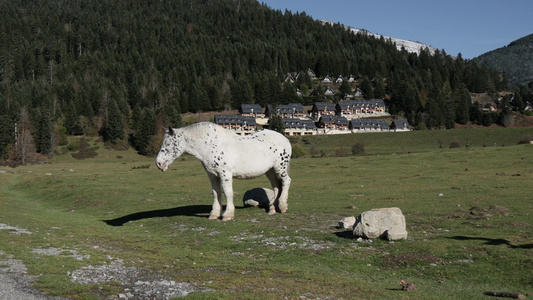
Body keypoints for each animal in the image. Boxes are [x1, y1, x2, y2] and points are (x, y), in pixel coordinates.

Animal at [157, 121, 290, 220]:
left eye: (168, 144)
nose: (159, 163)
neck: (211, 145)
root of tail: (285, 139)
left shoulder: (225, 174)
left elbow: (228, 193)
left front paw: (228, 215)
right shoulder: (212, 175)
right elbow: (216, 193)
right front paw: (214, 214)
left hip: (280, 168)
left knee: (286, 182)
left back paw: (283, 207)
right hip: (270, 171)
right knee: (276, 186)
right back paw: (272, 209)